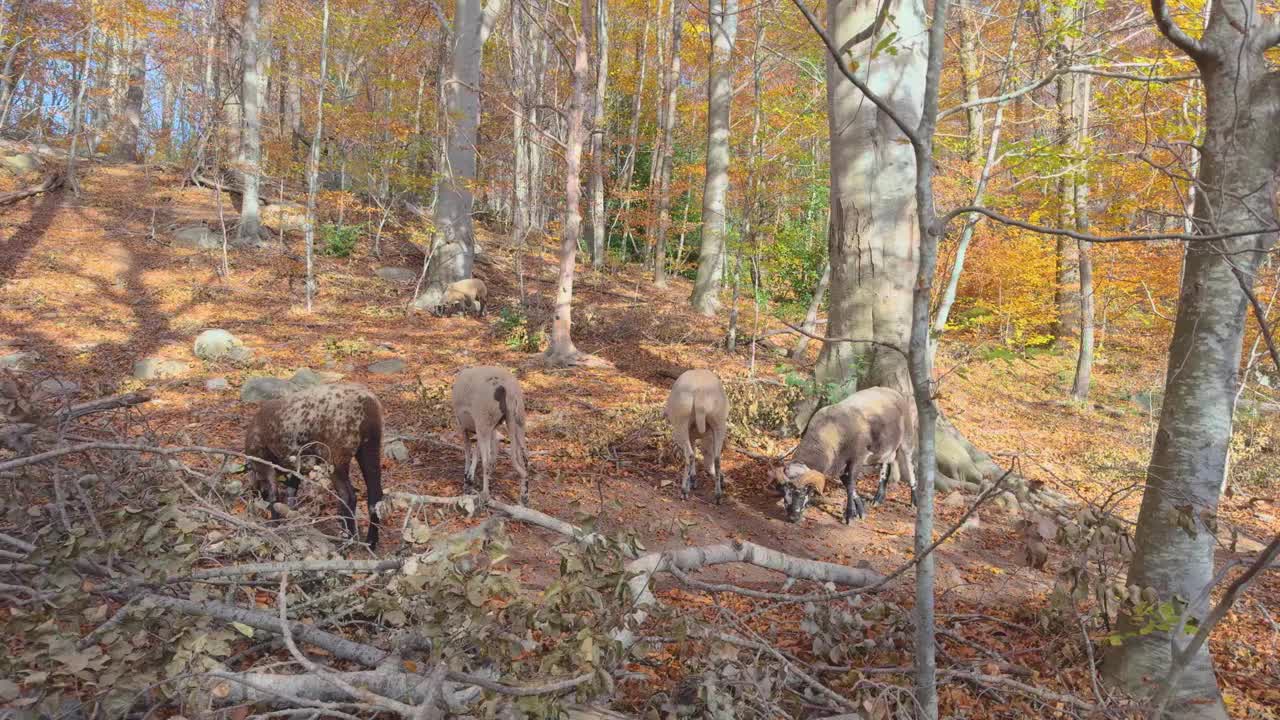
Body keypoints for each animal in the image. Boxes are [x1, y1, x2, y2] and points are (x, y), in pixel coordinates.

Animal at [243, 381, 384, 543]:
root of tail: (368, 405)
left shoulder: (265, 463)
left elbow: (274, 496)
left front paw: (274, 524)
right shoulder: (296, 464)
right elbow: (291, 493)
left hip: (335, 458)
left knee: (347, 495)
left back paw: (347, 537)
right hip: (369, 449)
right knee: (375, 497)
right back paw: (370, 541)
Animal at [453, 363, 527, 499]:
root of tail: (506, 387)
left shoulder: (465, 427)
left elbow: (468, 451)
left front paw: (467, 478)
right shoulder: (487, 429)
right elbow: (480, 450)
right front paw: (470, 476)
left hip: (483, 422)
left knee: (486, 461)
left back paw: (485, 494)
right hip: (518, 421)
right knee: (524, 458)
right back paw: (524, 496)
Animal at [665, 366, 727, 502]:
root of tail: (700, 394)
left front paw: (691, 482)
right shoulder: (696, 436)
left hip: (681, 426)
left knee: (690, 455)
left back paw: (684, 491)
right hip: (719, 423)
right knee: (717, 458)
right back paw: (718, 495)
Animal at [773, 386, 916, 520]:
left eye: (802, 491)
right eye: (784, 492)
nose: (792, 517)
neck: (829, 431)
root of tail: (892, 391)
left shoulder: (857, 458)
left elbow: (851, 484)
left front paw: (849, 515)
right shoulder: (840, 465)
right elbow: (848, 485)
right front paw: (859, 510)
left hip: (907, 438)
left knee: (910, 467)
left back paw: (914, 501)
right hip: (885, 448)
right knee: (886, 466)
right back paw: (878, 499)